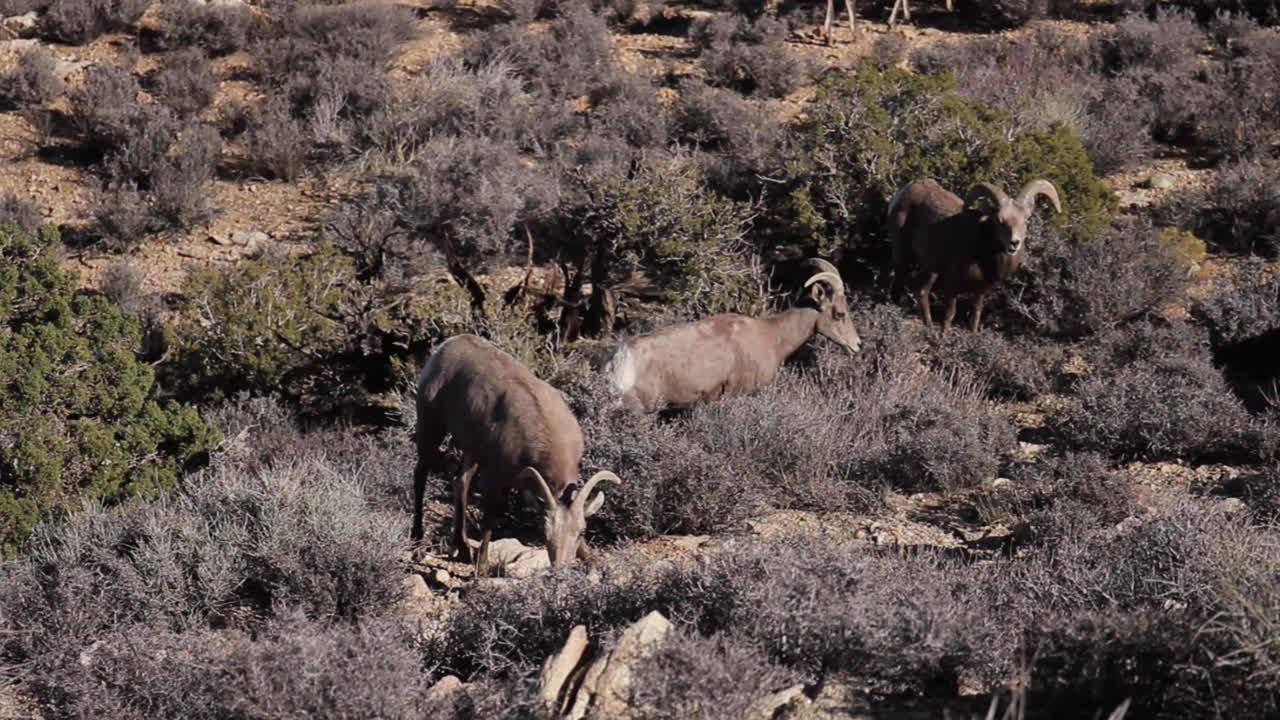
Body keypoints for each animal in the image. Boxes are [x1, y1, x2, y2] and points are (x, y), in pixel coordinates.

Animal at [410, 334, 621, 570]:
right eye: (543, 532)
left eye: (582, 532)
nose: (560, 567)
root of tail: (447, 346)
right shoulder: (493, 477)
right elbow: (489, 520)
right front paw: (481, 568)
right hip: (431, 426)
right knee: (421, 475)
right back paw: (417, 545)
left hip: (471, 450)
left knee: (461, 481)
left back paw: (462, 549)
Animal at [886, 177, 1062, 332]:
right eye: (999, 221)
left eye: (1027, 219)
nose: (1014, 243)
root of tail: (907, 189)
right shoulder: (951, 287)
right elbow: (949, 315)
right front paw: (944, 338)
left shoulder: (980, 292)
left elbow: (975, 317)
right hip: (902, 257)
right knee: (897, 288)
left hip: (931, 269)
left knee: (921, 291)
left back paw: (930, 330)